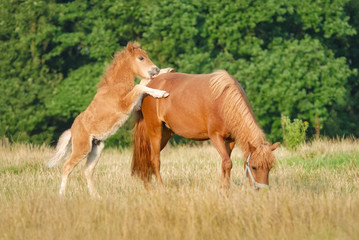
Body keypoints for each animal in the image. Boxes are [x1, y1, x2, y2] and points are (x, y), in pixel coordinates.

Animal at [47, 42, 169, 197]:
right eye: (141, 58)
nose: (156, 69)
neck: (115, 86)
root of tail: (72, 130)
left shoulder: (135, 105)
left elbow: (143, 83)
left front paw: (167, 70)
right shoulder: (125, 105)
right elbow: (139, 86)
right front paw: (161, 93)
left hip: (96, 149)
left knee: (88, 170)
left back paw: (96, 196)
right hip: (82, 149)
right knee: (67, 166)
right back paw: (62, 194)